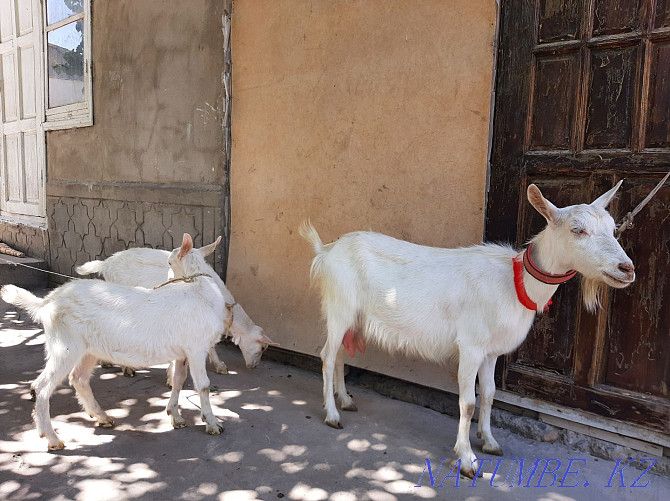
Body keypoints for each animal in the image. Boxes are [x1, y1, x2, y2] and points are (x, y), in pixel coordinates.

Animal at [0, 234, 231, 450]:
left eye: (170, 262)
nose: (164, 282)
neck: (199, 290)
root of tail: (48, 301)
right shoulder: (196, 348)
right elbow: (203, 386)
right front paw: (213, 423)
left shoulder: (183, 352)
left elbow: (178, 380)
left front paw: (176, 415)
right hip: (64, 346)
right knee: (43, 386)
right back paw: (52, 438)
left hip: (88, 350)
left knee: (79, 379)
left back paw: (102, 417)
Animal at [302, 183, 636, 476]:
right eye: (577, 230)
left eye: (613, 228)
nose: (627, 268)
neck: (515, 282)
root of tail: (327, 250)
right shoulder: (471, 346)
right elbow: (468, 402)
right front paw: (466, 460)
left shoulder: (491, 351)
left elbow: (489, 394)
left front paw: (489, 442)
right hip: (339, 307)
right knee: (327, 355)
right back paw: (332, 415)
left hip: (351, 316)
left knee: (340, 355)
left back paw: (346, 401)